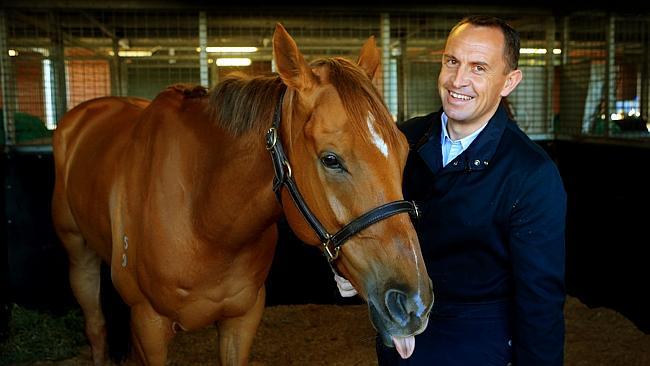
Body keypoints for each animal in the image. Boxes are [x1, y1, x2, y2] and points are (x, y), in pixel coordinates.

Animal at [50, 24, 432, 364]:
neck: (204, 218)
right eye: (330, 159)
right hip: (77, 253)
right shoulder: (149, 324)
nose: (414, 304)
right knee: (96, 326)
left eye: (403, 151)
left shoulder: (242, 320)